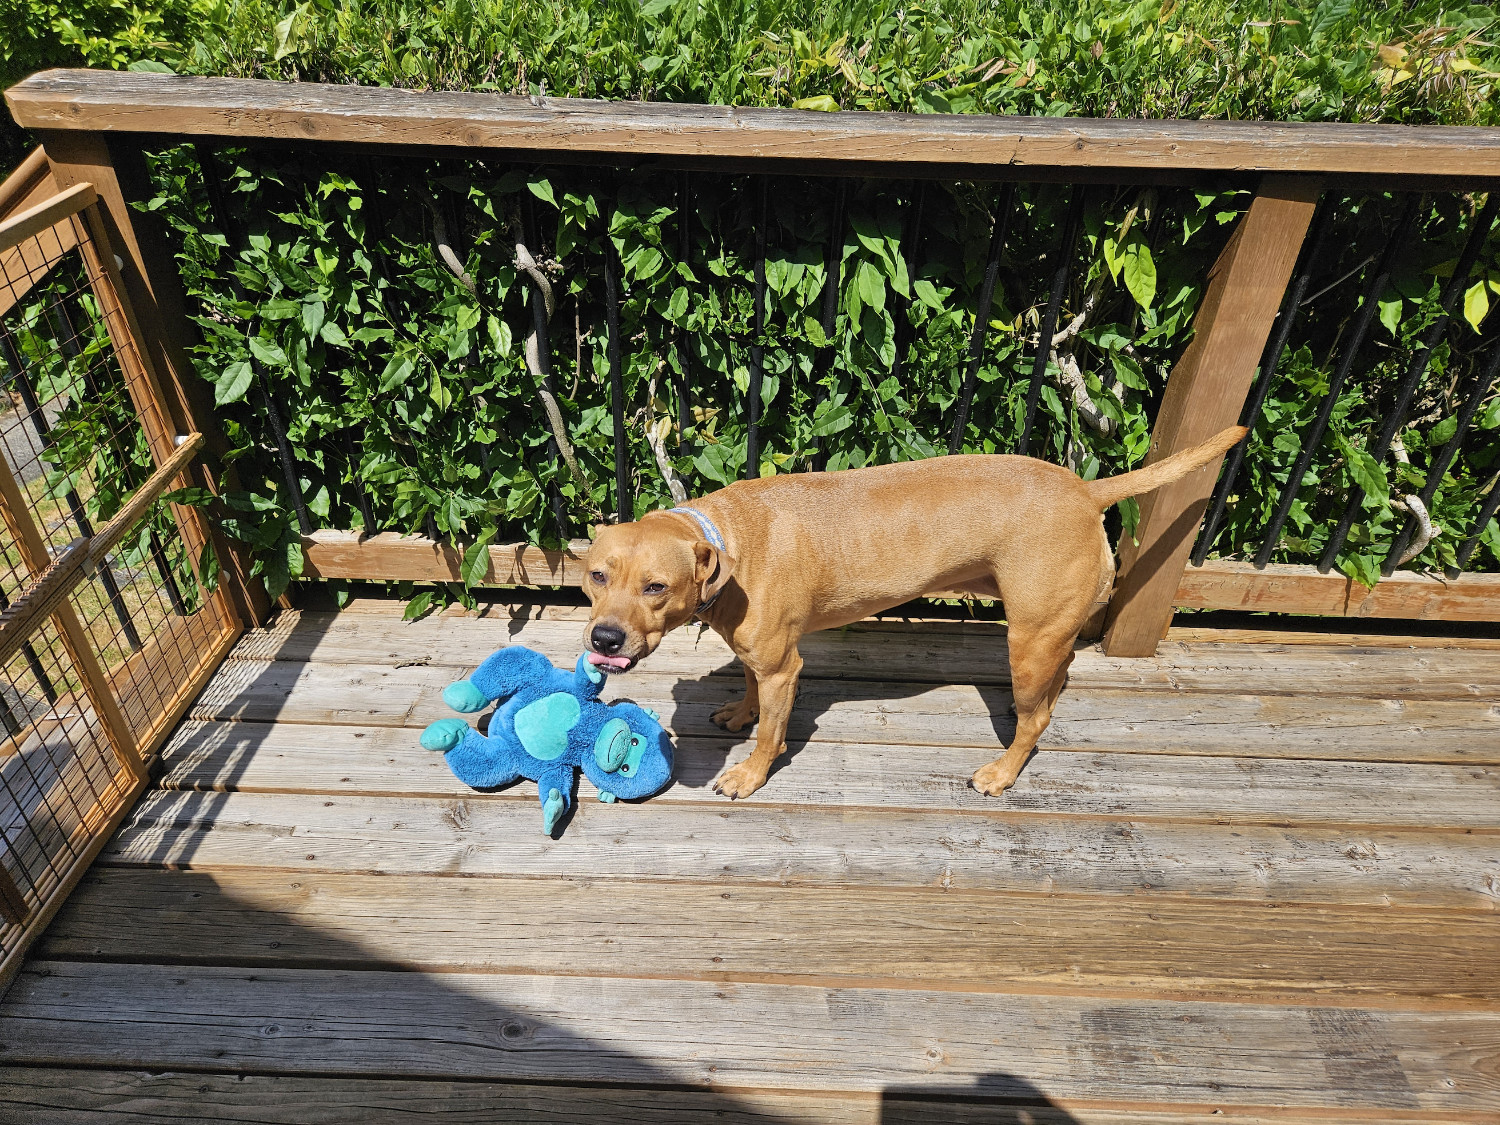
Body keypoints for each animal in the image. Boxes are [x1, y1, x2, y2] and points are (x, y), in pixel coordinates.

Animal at [579, 426, 1248, 804]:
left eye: (657, 587)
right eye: (596, 576)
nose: (605, 638)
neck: (728, 541)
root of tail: (1087, 489)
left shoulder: (783, 667)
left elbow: (772, 733)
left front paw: (749, 773)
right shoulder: (757, 656)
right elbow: (748, 690)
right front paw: (740, 712)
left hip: (1029, 640)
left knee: (1035, 721)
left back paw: (1002, 772)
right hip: (1046, 635)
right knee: (1052, 693)